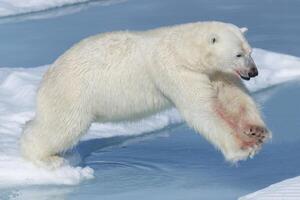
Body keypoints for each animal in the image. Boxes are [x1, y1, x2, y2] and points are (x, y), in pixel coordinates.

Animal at [19, 21, 270, 167]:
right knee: (62, 125)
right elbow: (200, 109)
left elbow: (233, 97)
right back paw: (46, 158)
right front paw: (242, 148)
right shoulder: (174, 70)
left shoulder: (215, 72)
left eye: (250, 51)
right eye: (238, 54)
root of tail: (47, 75)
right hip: (72, 91)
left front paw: (256, 131)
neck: (184, 50)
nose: (254, 72)